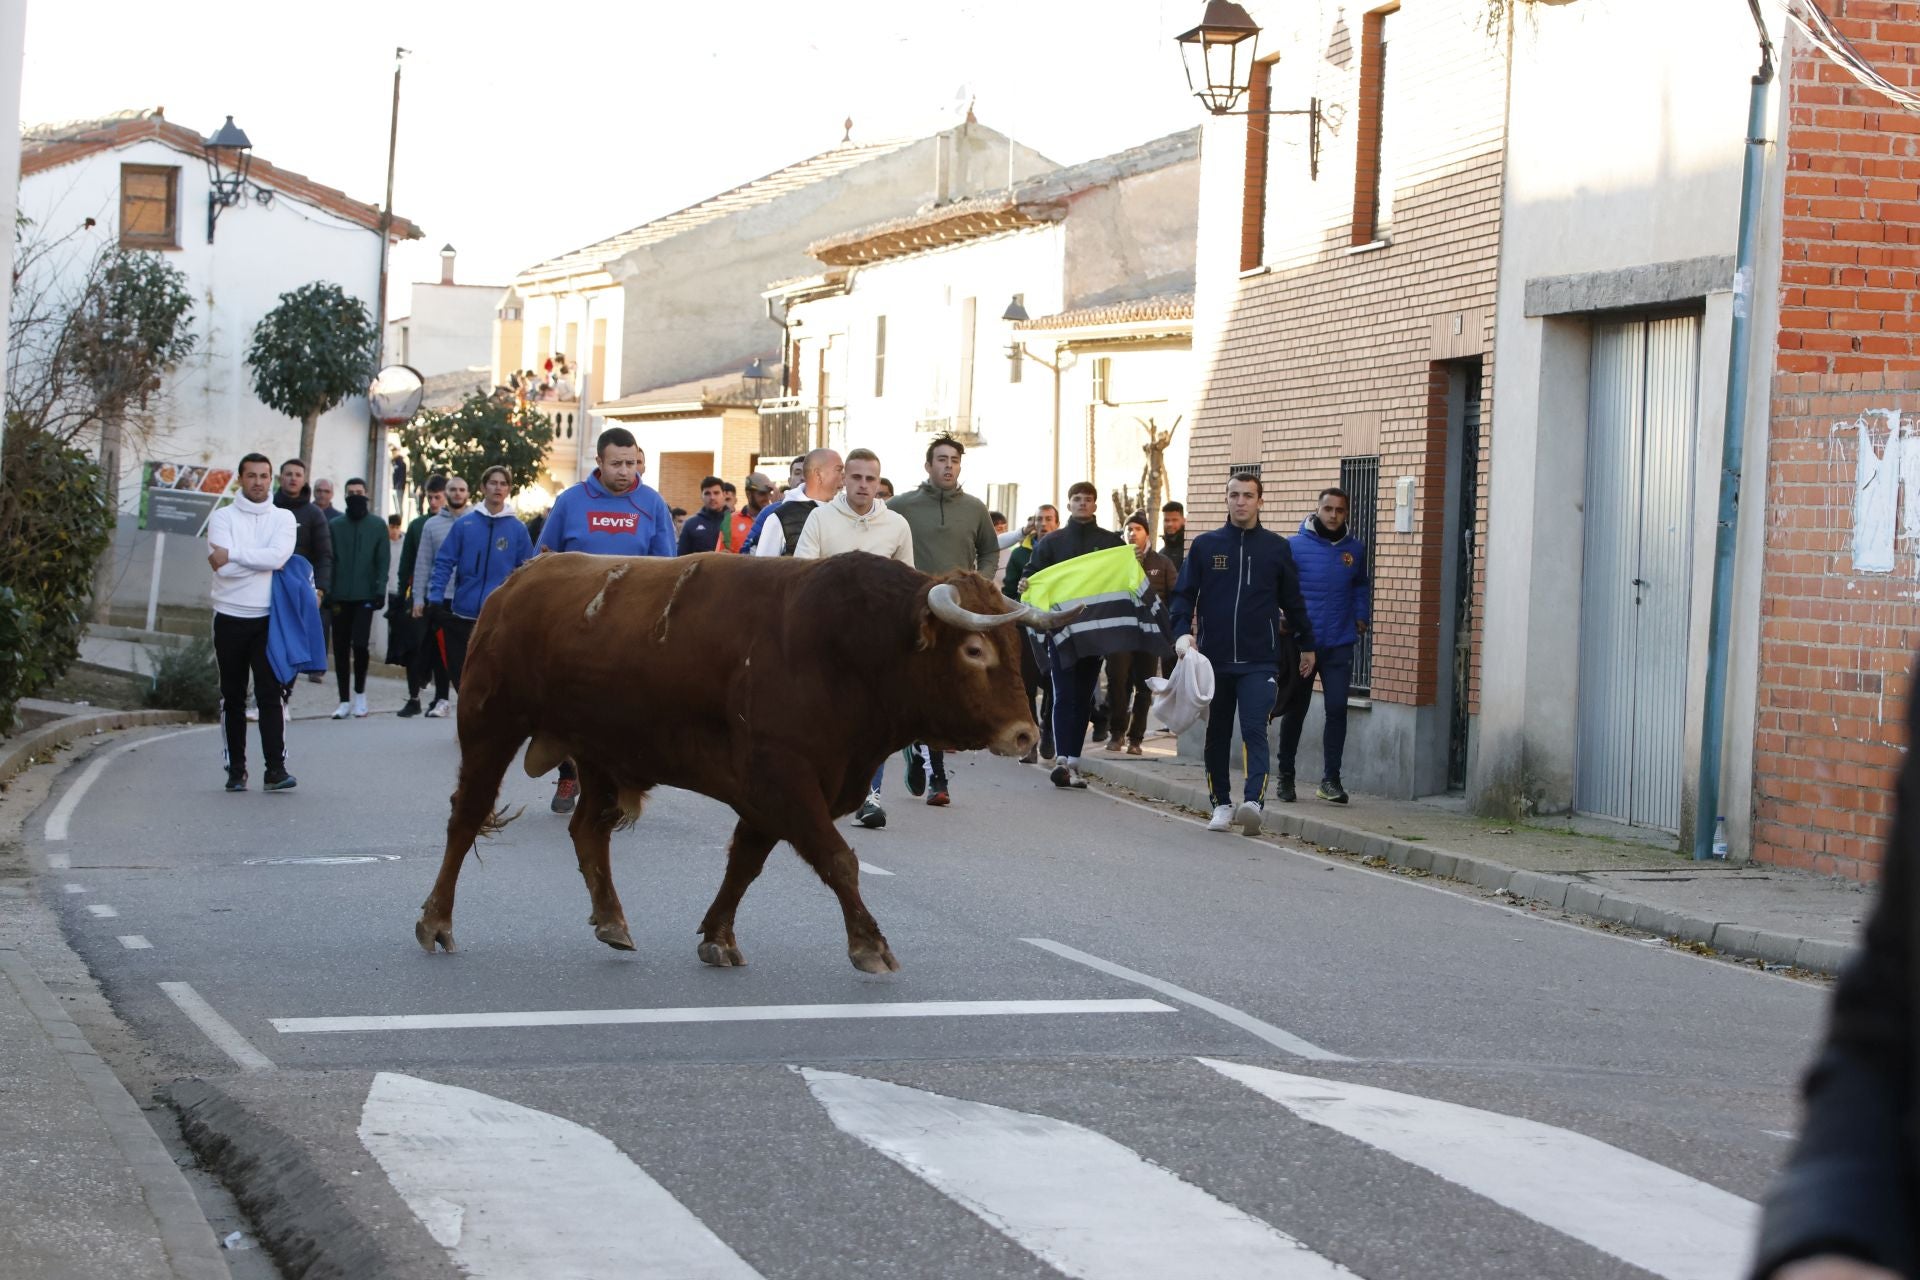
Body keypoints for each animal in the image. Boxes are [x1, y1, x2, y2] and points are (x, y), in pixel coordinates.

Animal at [414, 552, 1075, 971]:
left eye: (1015, 645)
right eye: (974, 649)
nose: (1024, 733)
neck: (850, 650)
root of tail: (520, 579)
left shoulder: (774, 791)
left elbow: (745, 864)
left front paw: (717, 937)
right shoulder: (782, 777)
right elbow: (838, 860)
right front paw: (870, 946)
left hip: (601, 750)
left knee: (587, 830)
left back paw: (613, 922)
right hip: (491, 725)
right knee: (466, 815)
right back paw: (436, 923)